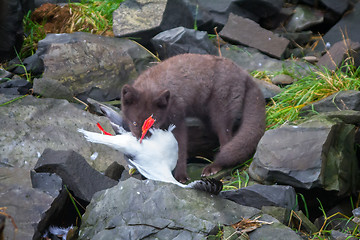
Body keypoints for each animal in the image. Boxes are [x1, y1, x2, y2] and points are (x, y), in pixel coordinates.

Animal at [122, 54, 266, 182]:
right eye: (134, 123)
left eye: (153, 124)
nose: (142, 142)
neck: (153, 84)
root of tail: (245, 74)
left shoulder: (178, 119)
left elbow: (180, 149)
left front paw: (181, 176)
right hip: (206, 116)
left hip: (220, 114)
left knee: (226, 142)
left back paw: (214, 167)